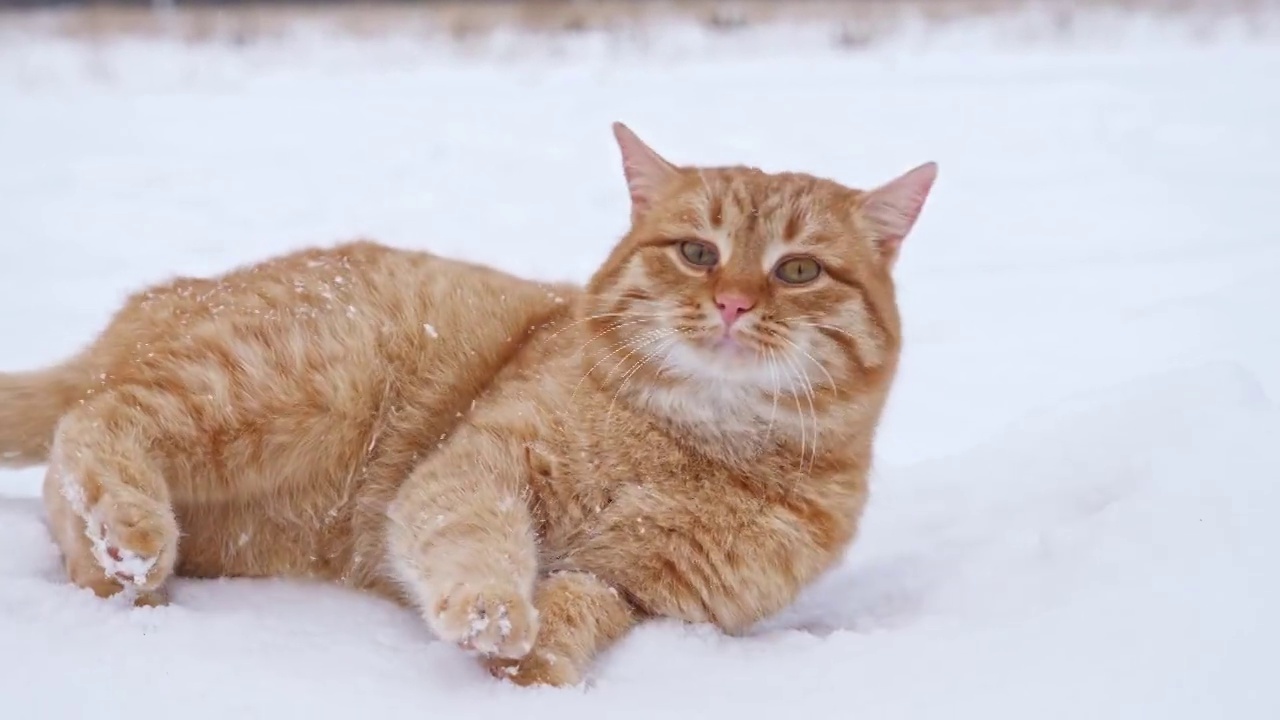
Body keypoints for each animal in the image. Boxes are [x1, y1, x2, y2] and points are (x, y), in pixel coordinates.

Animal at [2, 122, 942, 681]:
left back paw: (120, 573)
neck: (691, 443)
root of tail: (155, 299)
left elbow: (578, 609)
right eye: (696, 253)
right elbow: (476, 538)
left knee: (66, 472)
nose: (735, 303)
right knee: (100, 418)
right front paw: (493, 613)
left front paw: (532, 665)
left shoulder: (638, 589)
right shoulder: (481, 466)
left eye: (798, 270)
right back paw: (131, 532)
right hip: (292, 384)